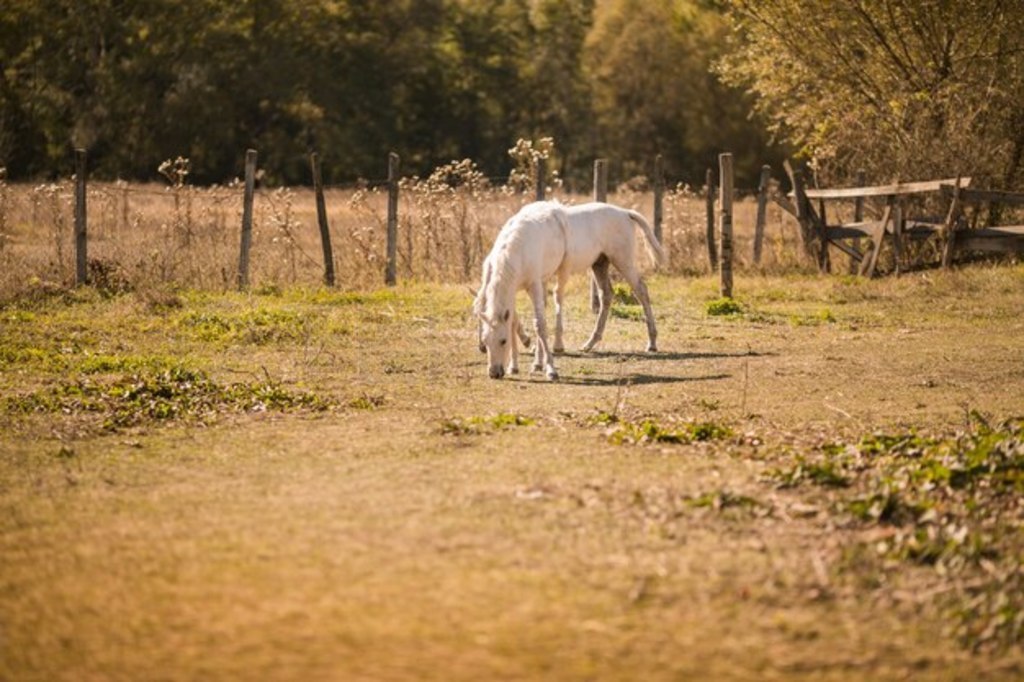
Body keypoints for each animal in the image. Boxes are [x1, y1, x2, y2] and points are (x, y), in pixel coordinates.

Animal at [473, 199, 663, 378]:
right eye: (486, 341)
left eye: (503, 341)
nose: (494, 372)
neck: (515, 251)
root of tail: (625, 213)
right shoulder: (513, 291)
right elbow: (514, 322)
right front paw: (516, 366)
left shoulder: (534, 285)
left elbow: (539, 324)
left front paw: (549, 369)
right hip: (599, 264)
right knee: (606, 295)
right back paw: (589, 343)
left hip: (623, 261)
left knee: (641, 291)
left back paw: (652, 343)